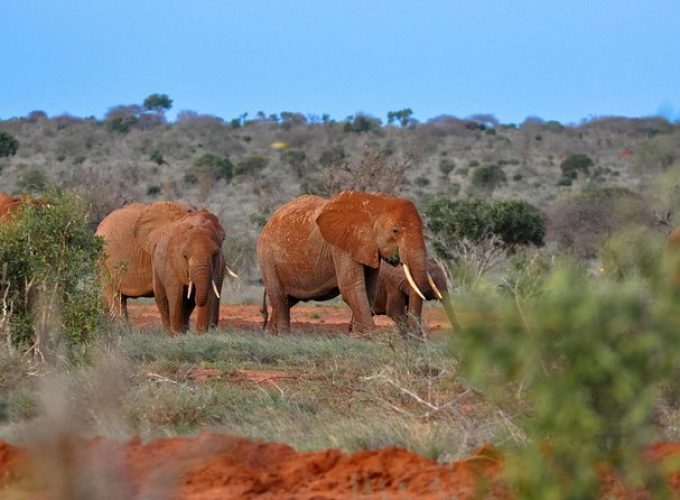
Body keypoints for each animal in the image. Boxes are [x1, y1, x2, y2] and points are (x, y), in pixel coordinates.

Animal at [255, 191, 430, 336]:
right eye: (395, 231)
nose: (416, 338)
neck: (375, 203)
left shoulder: (367, 247)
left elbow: (368, 289)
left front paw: (358, 337)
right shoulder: (341, 245)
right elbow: (352, 287)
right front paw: (372, 339)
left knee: (287, 301)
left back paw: (271, 336)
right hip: (267, 257)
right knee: (279, 298)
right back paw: (284, 337)